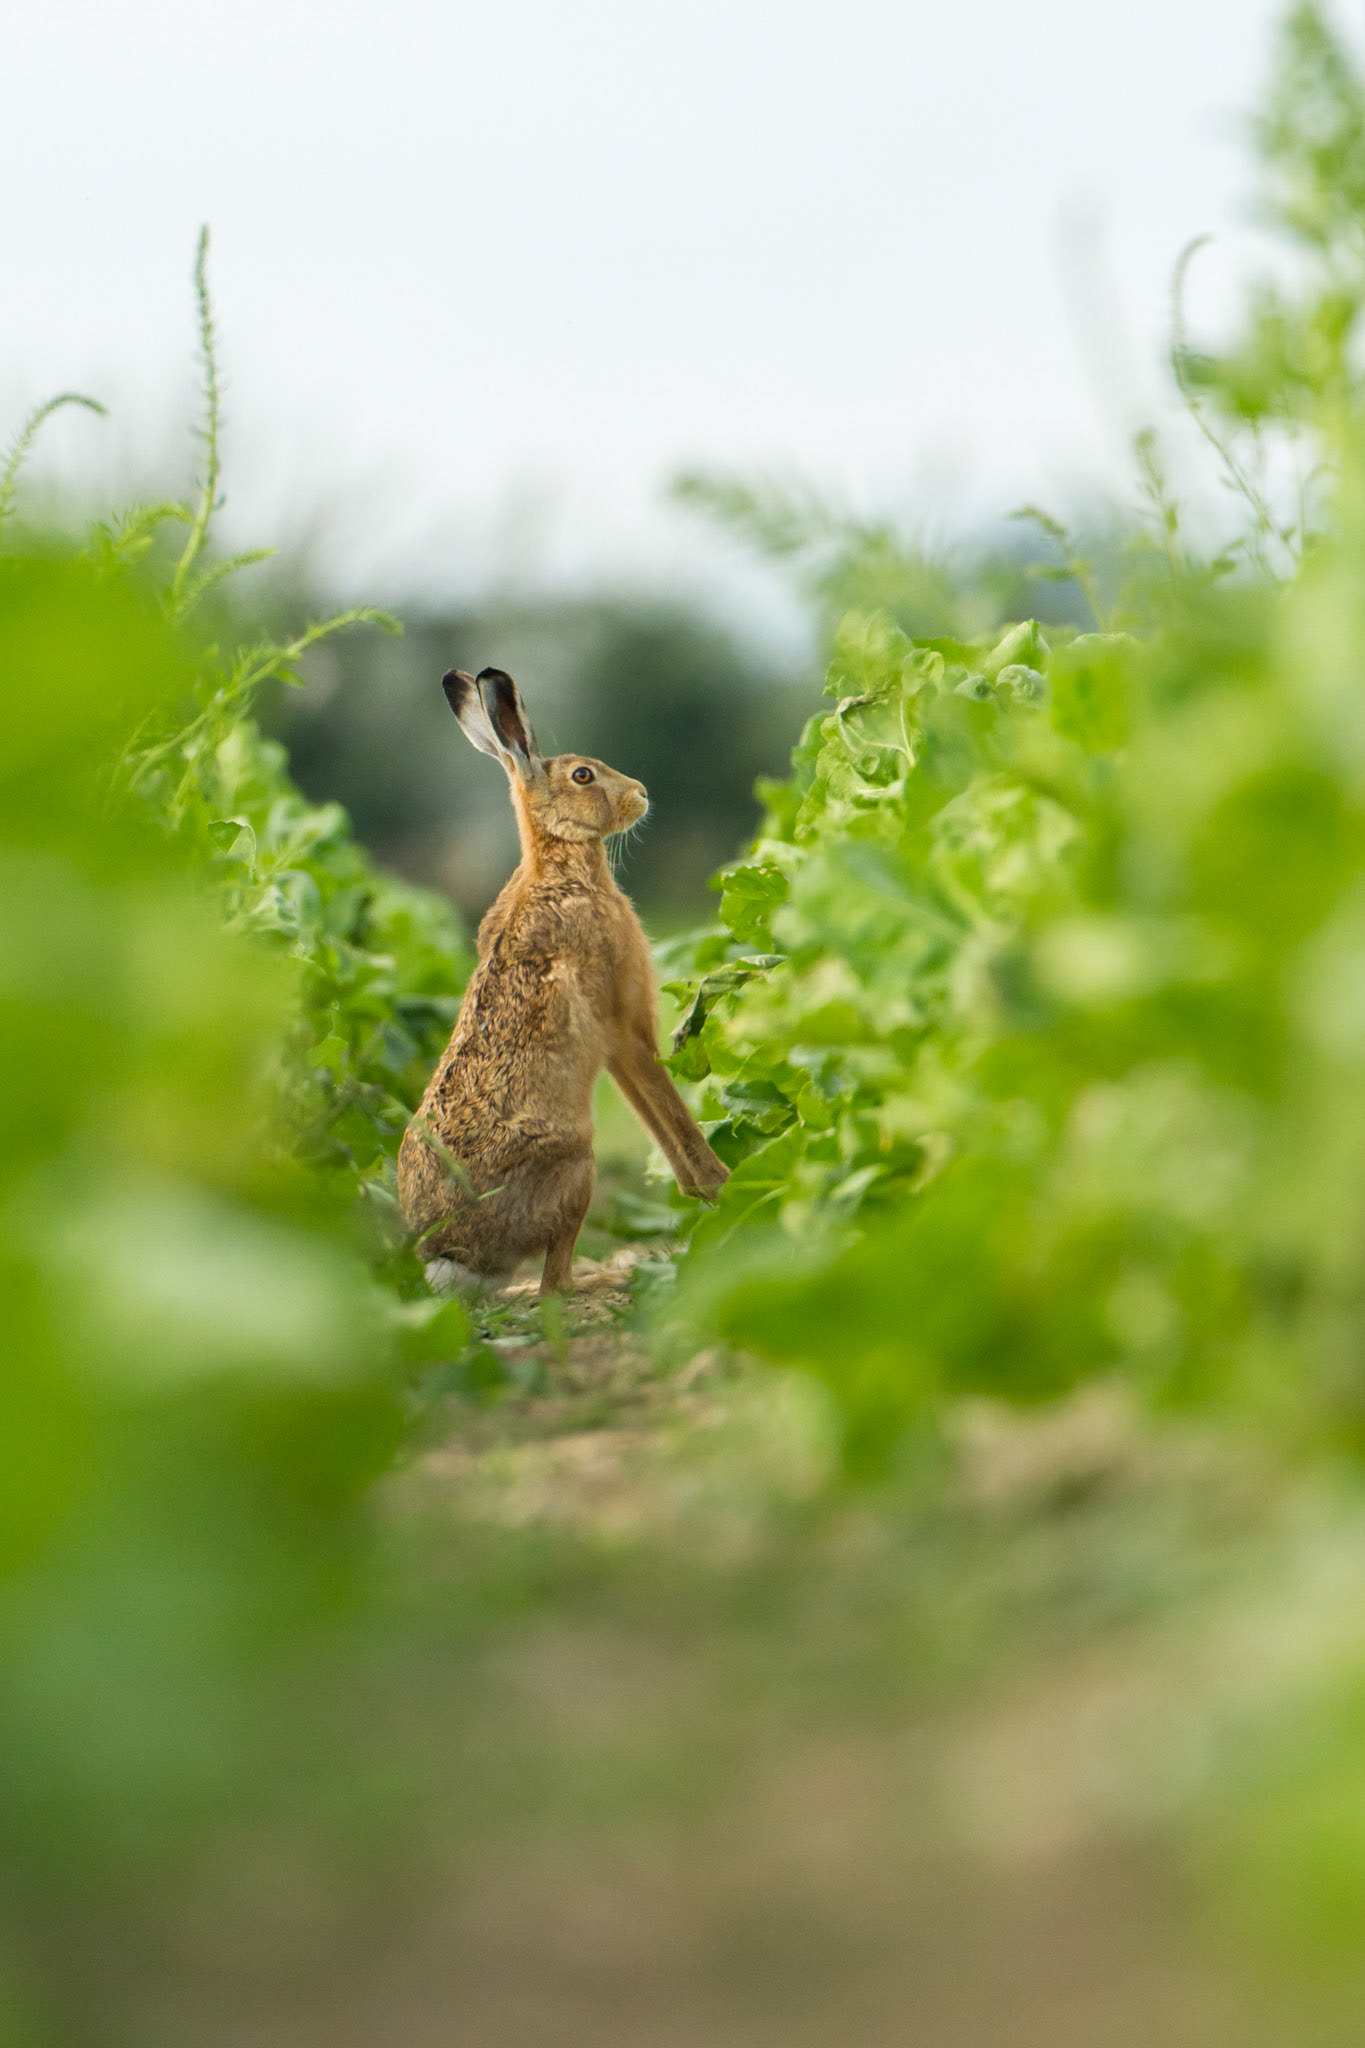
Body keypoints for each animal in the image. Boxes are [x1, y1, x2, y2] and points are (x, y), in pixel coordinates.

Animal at [397, 665, 730, 1296]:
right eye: (583, 775)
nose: (641, 793)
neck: (560, 864)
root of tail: (453, 1257)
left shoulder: (617, 1047)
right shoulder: (623, 1022)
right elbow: (666, 1104)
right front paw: (722, 1182)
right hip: (578, 1163)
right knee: (555, 1280)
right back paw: (606, 1279)